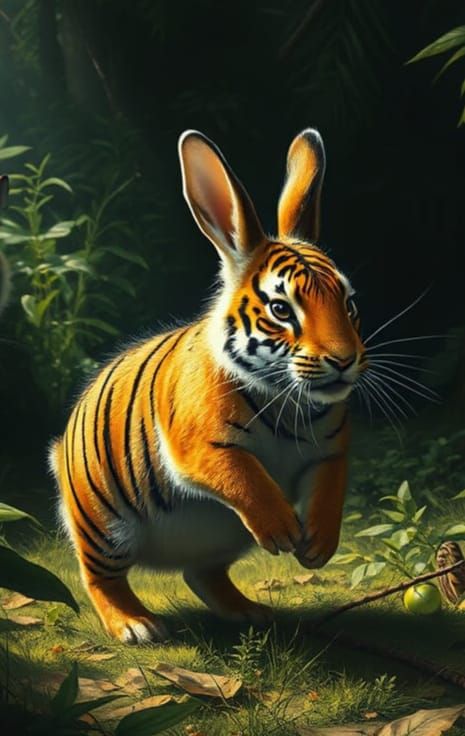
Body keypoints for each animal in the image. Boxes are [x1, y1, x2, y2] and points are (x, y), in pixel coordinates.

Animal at [49, 129, 367, 644]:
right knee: (98, 576)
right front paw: (282, 527)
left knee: (201, 573)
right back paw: (135, 624)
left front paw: (317, 543)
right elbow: (244, 474)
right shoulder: (199, 447)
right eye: (281, 309)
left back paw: (249, 611)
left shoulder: (330, 452)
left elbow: (330, 489)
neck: (291, 402)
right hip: (102, 523)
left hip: (221, 538)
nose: (344, 360)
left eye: (349, 303)